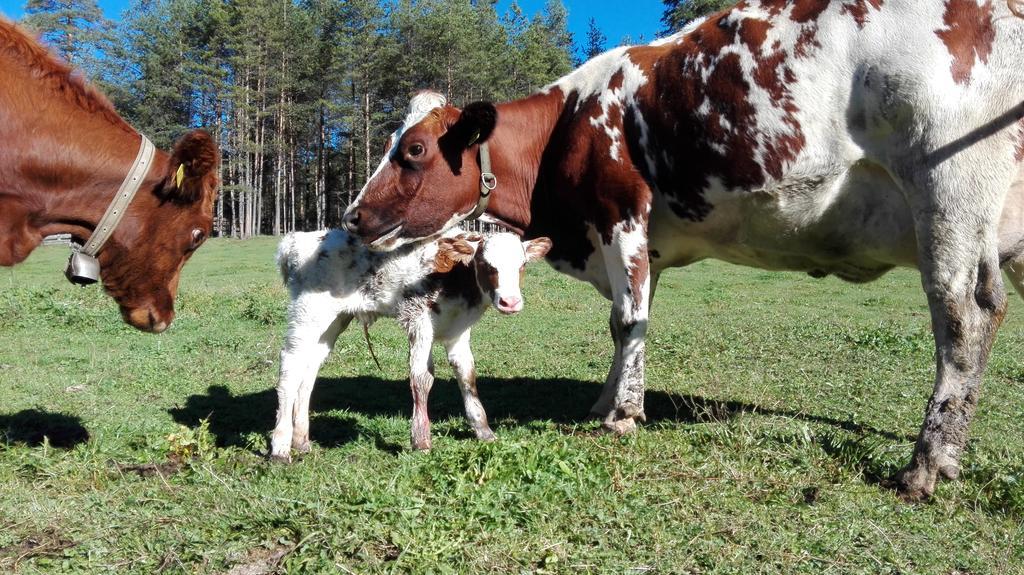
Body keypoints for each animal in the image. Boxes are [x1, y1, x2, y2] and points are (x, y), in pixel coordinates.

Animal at [268, 226, 548, 458]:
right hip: (309, 312)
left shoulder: (458, 330)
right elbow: (422, 377)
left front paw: (484, 431)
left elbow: (467, 374)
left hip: (334, 320)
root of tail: (299, 239)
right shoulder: (418, 318)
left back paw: (301, 441)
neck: (455, 274)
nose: (510, 302)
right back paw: (281, 448)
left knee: (309, 369)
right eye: (485, 263)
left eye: (522, 265)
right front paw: (421, 440)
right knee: (291, 365)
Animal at [342, 1, 1024, 497]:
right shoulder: (641, 243)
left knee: (966, 315)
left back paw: (927, 465)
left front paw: (623, 413)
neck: (567, 128)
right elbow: (626, 319)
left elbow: (630, 319)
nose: (353, 215)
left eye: (413, 151)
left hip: (949, 181)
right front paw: (606, 399)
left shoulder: (622, 212)